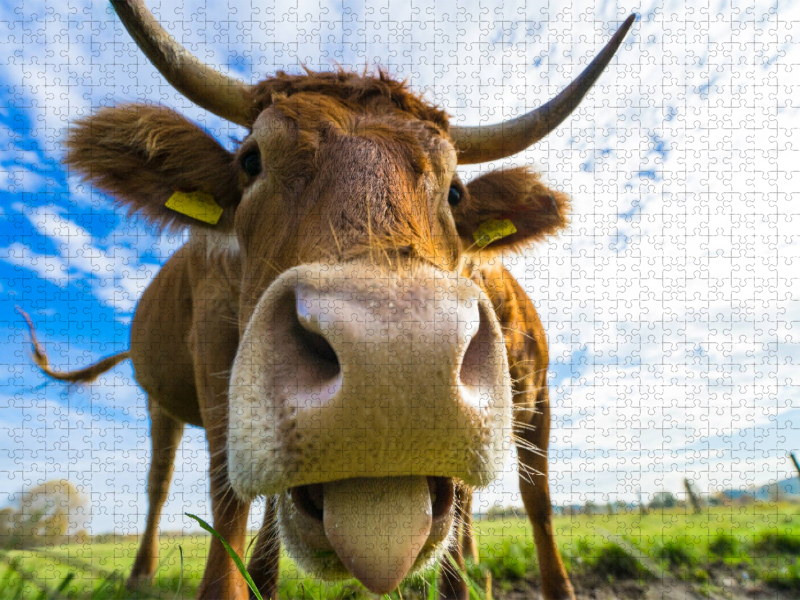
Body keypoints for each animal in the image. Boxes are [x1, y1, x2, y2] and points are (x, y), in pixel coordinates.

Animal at [21, 1, 635, 598]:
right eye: (251, 161)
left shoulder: (538, 404)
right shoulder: (216, 363)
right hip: (164, 404)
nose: (399, 361)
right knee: (160, 481)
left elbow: (536, 506)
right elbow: (229, 509)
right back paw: (142, 574)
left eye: (457, 192)